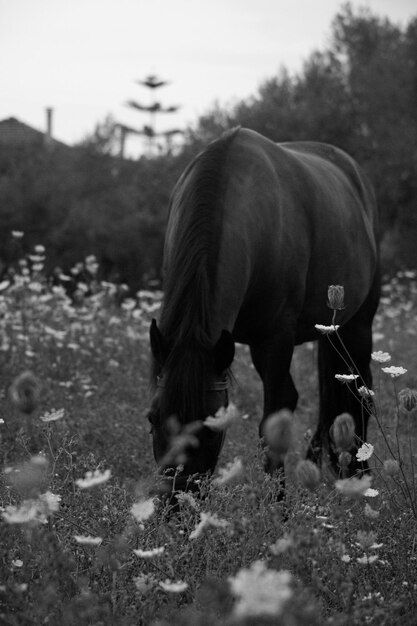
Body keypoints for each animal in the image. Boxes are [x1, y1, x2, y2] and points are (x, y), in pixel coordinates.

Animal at [148, 127, 378, 492]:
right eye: (153, 419)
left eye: (211, 428)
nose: (176, 499)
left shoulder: (274, 340)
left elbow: (272, 425)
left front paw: (276, 503)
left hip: (359, 324)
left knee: (360, 392)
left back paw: (358, 472)